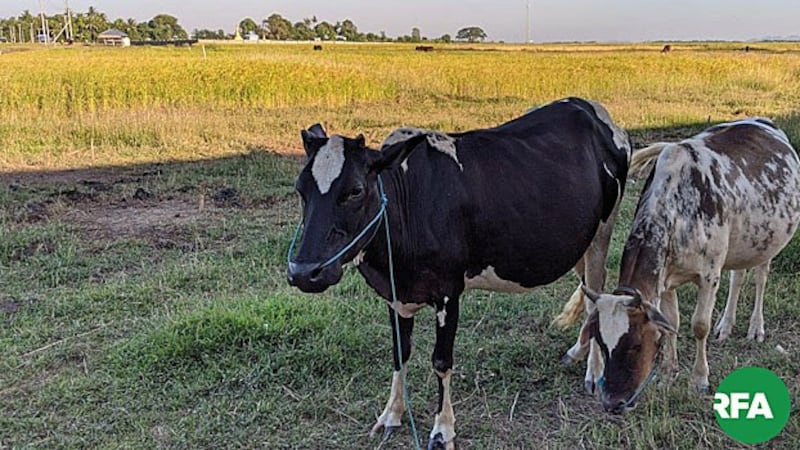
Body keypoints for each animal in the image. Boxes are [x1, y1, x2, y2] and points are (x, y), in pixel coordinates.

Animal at [288, 96, 632, 448]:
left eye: (355, 190)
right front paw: (391, 415)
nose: (303, 272)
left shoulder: (448, 292)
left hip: (602, 232)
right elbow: (399, 353)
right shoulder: (395, 295)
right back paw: (577, 350)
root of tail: (588, 107)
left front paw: (443, 430)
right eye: (301, 189)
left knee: (595, 295)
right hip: (577, 241)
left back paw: (594, 370)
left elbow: (441, 361)